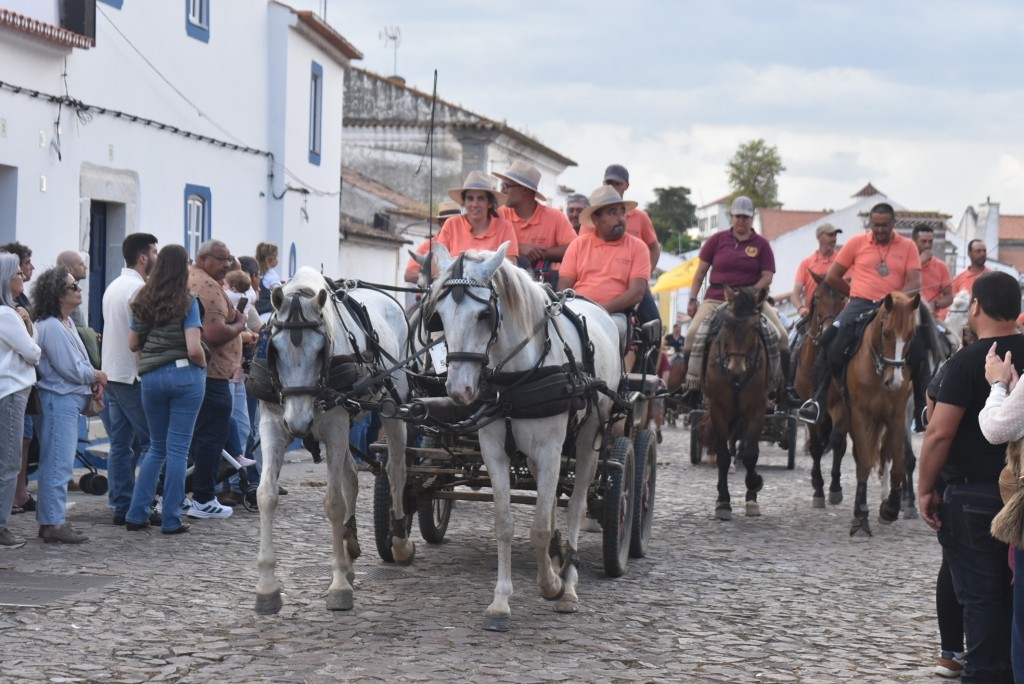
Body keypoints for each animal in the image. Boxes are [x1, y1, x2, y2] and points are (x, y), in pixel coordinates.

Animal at [252, 267, 413, 614]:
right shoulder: (273, 425)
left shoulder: (336, 427)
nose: (299, 424)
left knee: (396, 469)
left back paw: (399, 540)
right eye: (274, 349)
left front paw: (338, 584)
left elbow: (334, 502)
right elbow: (266, 495)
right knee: (351, 476)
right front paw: (267, 587)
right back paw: (350, 548)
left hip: (394, 409)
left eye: (319, 351)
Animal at [426, 242, 621, 631]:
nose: (459, 390)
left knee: (576, 505)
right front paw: (501, 601)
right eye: (439, 315)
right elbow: (505, 524)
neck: (515, 380)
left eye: (485, 314)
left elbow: (539, 529)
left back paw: (569, 585)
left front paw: (552, 586)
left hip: (589, 438)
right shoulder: (494, 450)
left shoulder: (550, 449)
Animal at [701, 285, 770, 520]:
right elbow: (722, 455)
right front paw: (723, 502)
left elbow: (751, 454)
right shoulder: (718, 409)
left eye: (755, 327)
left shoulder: (756, 410)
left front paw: (753, 488)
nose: (735, 369)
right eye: (727, 325)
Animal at [844, 291, 920, 537]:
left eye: (911, 335)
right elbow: (863, 463)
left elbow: (898, 465)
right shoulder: (859, 415)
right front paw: (860, 518)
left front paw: (890, 508)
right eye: (886, 333)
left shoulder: (897, 417)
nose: (894, 382)